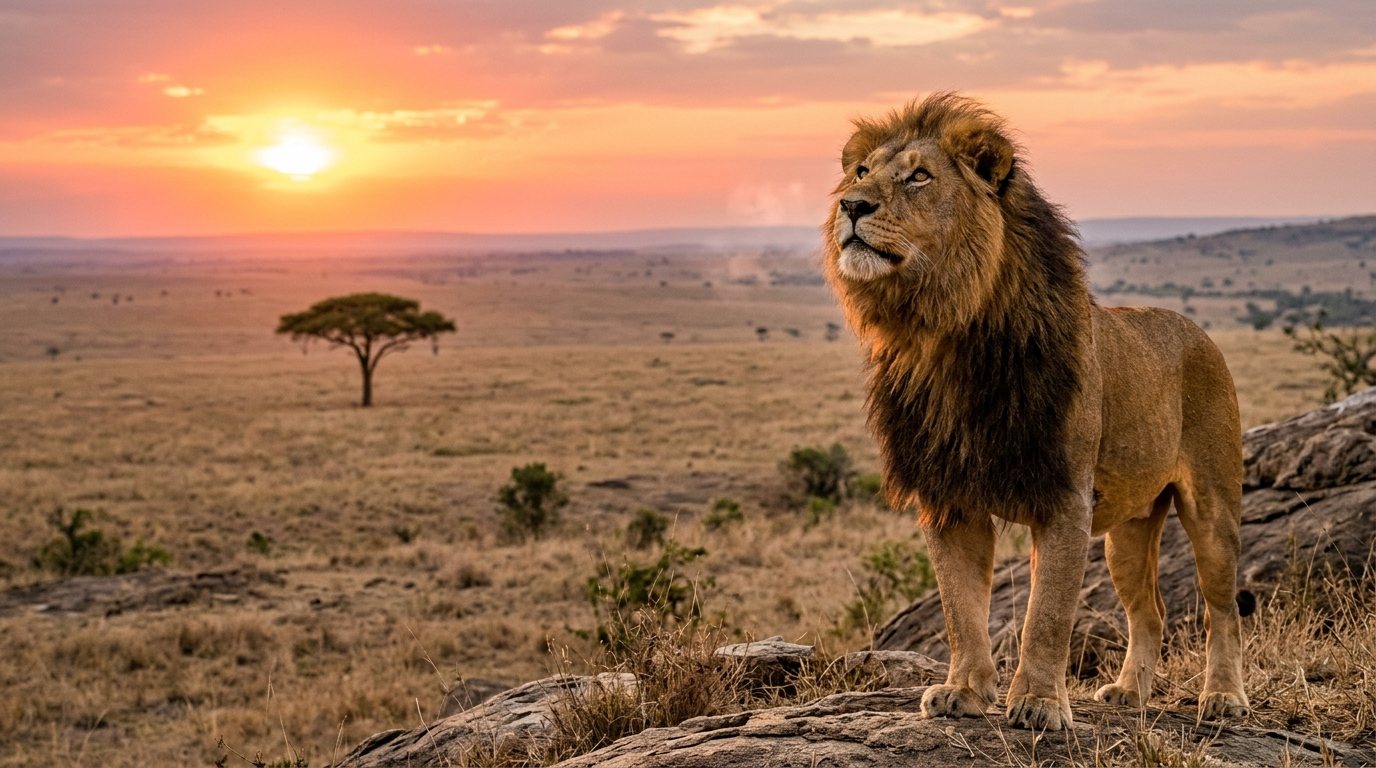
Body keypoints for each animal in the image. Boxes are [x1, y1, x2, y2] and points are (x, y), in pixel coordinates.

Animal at [823, 93, 1249, 730]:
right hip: (1127, 531)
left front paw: (1039, 704)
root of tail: (1196, 330)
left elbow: (1045, 613)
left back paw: (1223, 697)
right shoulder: (949, 500)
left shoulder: (1064, 496)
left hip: (1211, 508)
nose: (851, 205)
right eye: (861, 172)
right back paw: (1129, 692)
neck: (946, 333)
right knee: (1149, 611)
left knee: (1221, 608)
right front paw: (964, 692)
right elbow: (961, 610)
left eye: (920, 177)